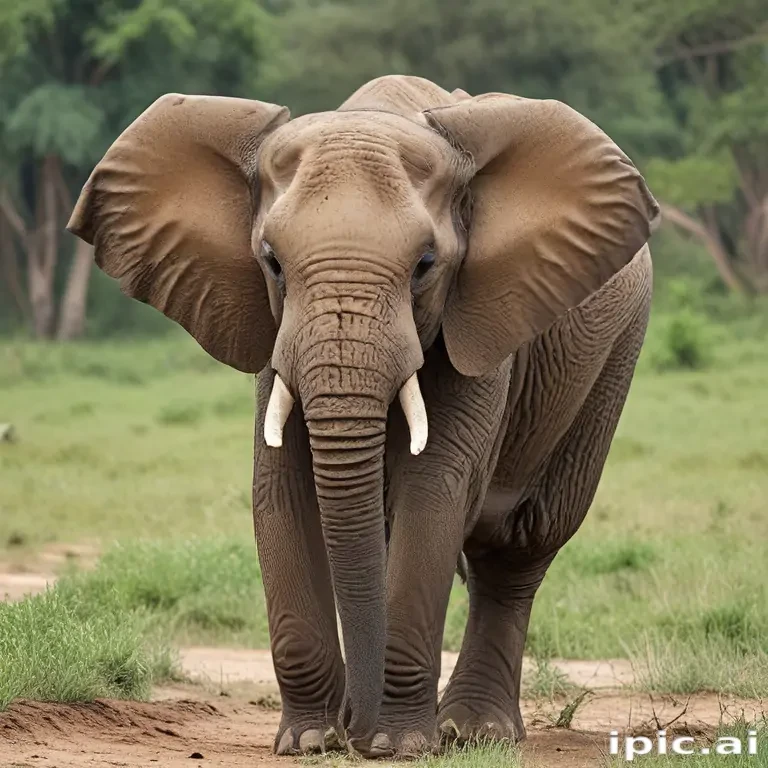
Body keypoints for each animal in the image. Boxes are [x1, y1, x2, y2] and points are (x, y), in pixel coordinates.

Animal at [67, 75, 659, 758]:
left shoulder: (481, 323)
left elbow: (434, 489)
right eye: (271, 261)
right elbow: (280, 489)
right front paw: (310, 741)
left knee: (520, 546)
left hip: (615, 356)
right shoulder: (274, 335)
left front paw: (397, 746)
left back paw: (474, 733)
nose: (357, 735)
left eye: (426, 265)